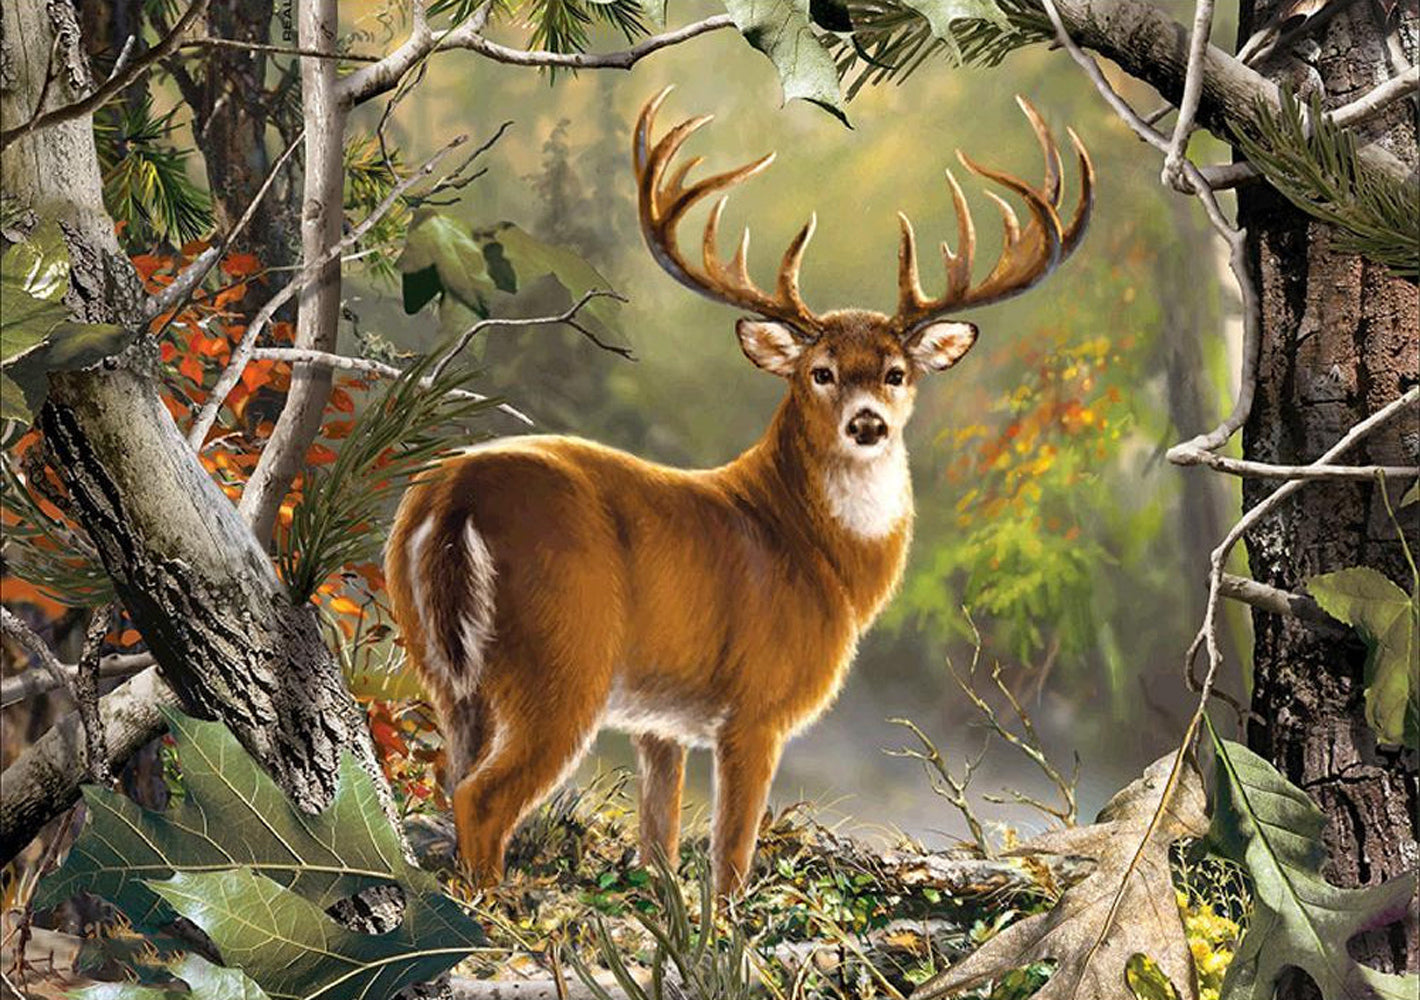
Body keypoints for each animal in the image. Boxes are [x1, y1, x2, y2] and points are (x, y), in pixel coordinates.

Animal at [385, 88, 1093, 896]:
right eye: (820, 371)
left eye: (896, 371)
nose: (869, 424)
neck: (819, 557)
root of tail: (455, 496)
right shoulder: (756, 708)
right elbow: (729, 859)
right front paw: (725, 924)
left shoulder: (659, 723)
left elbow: (658, 845)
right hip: (562, 660)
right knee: (483, 798)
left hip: (442, 667)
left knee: (453, 777)